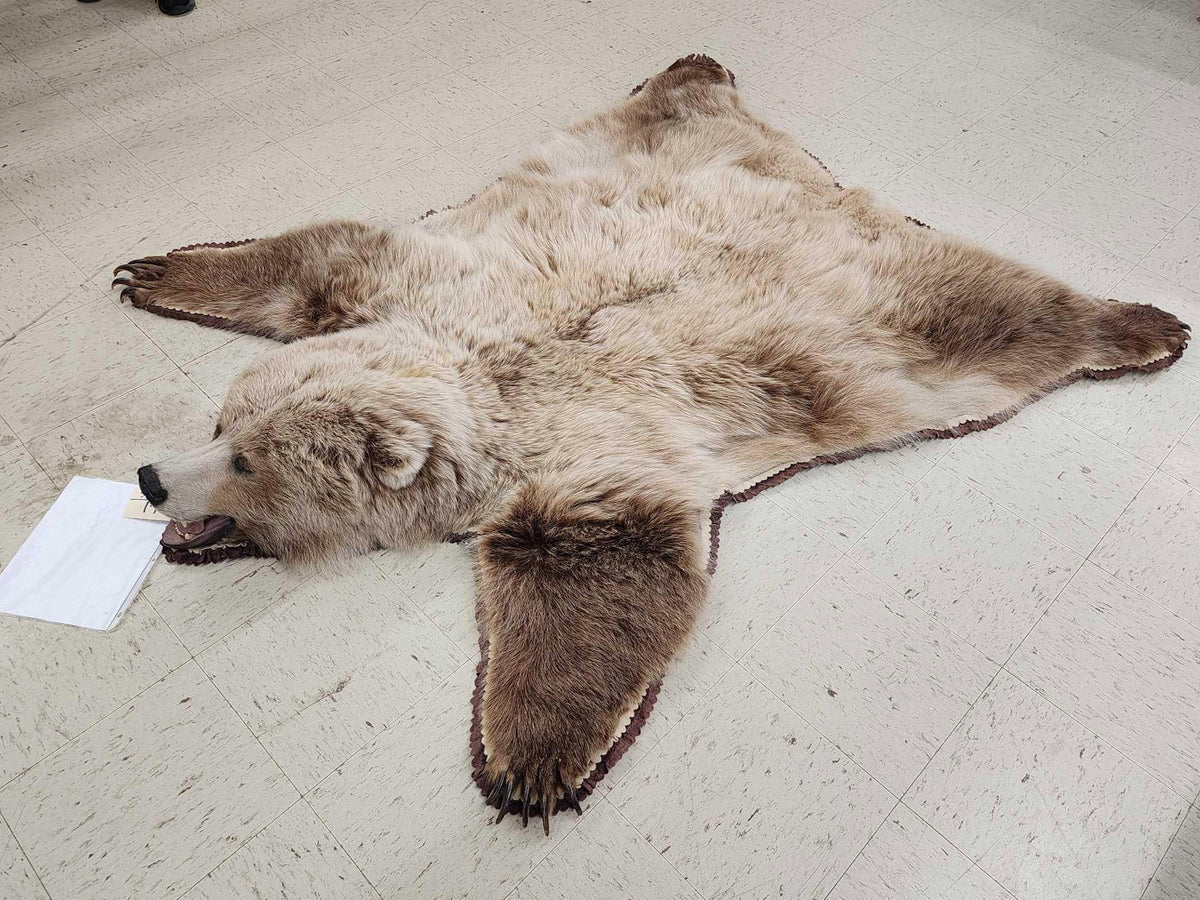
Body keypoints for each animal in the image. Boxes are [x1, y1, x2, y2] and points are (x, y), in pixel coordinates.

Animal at [119, 55, 1189, 834]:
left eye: (247, 463)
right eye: (223, 424)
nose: (151, 477)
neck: (479, 380)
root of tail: (835, 193)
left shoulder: (586, 447)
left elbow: (598, 563)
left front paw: (531, 761)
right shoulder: (415, 284)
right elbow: (313, 257)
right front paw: (155, 268)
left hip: (909, 320)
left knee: (1023, 313)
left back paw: (1143, 326)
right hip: (642, 149)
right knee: (671, 104)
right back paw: (693, 62)